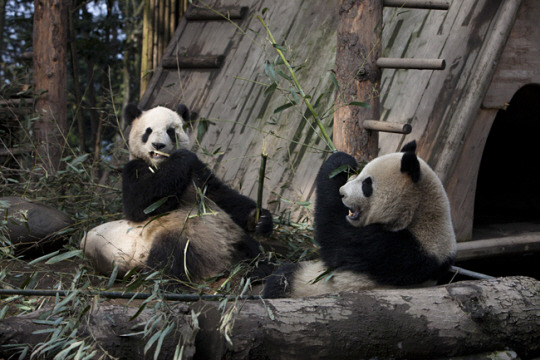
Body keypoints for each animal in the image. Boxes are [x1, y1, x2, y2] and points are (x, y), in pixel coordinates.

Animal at [79, 103, 274, 282]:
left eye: (171, 131)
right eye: (148, 131)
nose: (158, 145)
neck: (161, 165)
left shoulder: (198, 174)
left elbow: (221, 195)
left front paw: (260, 219)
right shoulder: (134, 170)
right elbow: (140, 205)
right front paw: (181, 158)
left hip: (230, 233)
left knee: (252, 249)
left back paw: (258, 269)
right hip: (175, 237)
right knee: (169, 260)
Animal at [264, 141, 456, 298]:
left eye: (366, 184)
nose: (342, 192)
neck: (418, 215)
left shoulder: (399, 251)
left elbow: (337, 238)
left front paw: (338, 161)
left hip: (310, 285)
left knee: (282, 278)